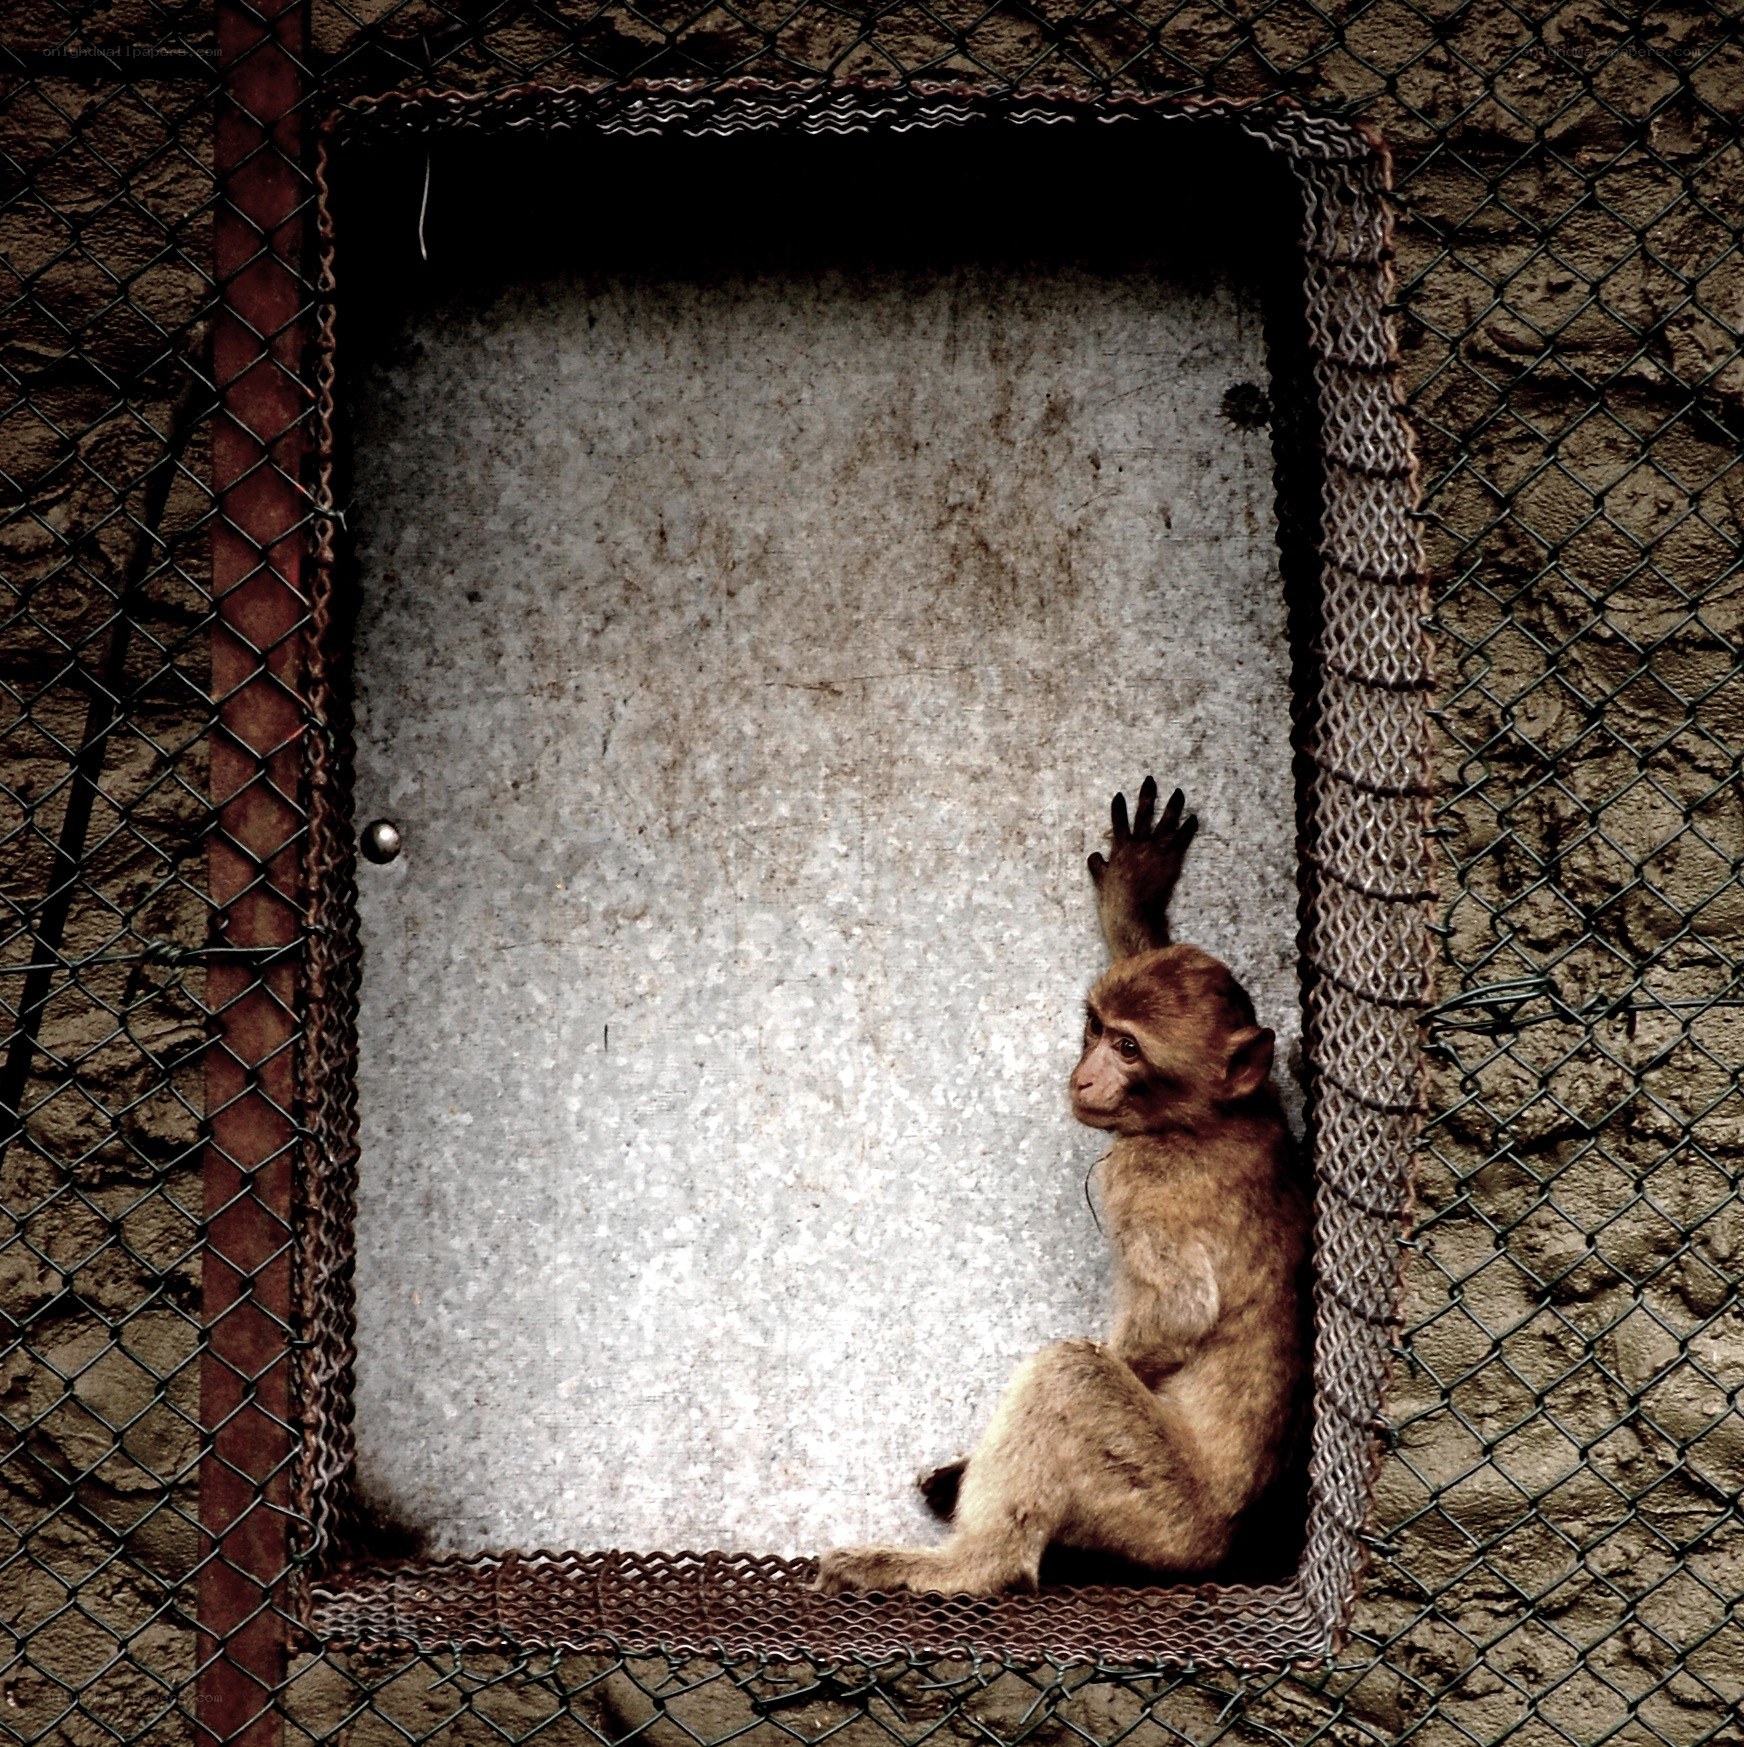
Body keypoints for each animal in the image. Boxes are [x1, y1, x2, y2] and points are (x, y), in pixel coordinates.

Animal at [814, 777, 1310, 1597]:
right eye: (1098, 1026)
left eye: (1129, 1048)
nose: (1084, 1075)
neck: (1201, 1119)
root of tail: (1218, 1544)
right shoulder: (1266, 1095)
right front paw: (1137, 889)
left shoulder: (1143, 1178)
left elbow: (1175, 1315)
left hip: (1157, 1508)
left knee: (1072, 1376)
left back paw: (969, 1564)